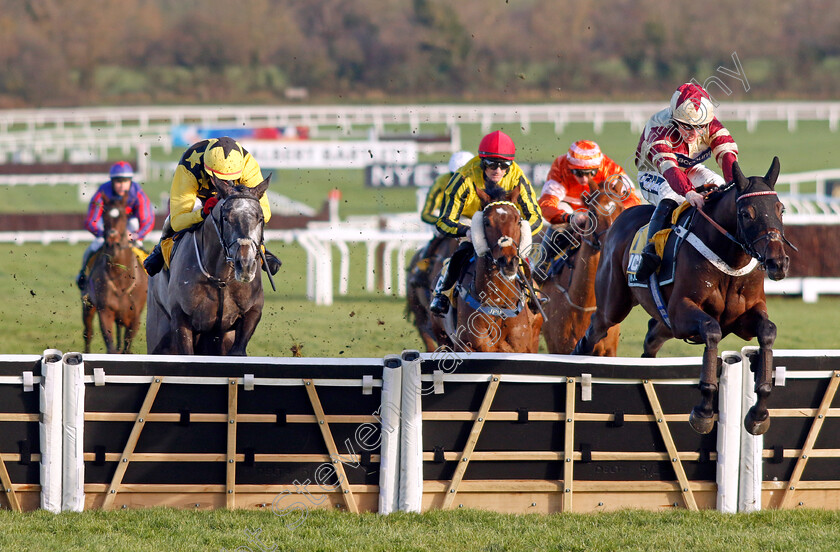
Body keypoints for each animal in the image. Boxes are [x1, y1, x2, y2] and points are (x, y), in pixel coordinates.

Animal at [82, 194, 148, 354]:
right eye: (104, 214)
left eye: (124, 215)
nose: (112, 241)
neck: (120, 280)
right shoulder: (105, 311)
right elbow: (111, 347)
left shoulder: (135, 317)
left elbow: (126, 348)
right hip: (88, 306)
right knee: (88, 333)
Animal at [146, 178, 270, 358]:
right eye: (225, 218)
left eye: (260, 218)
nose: (245, 265)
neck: (221, 279)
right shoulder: (181, 317)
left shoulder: (251, 313)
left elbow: (238, 350)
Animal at [576, 158, 792, 436]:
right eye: (746, 213)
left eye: (780, 209)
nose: (778, 263)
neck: (730, 260)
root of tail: (620, 218)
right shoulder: (682, 311)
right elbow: (712, 331)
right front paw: (704, 411)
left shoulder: (744, 317)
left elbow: (767, 332)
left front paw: (758, 413)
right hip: (613, 305)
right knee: (595, 330)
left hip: (665, 323)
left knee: (651, 337)